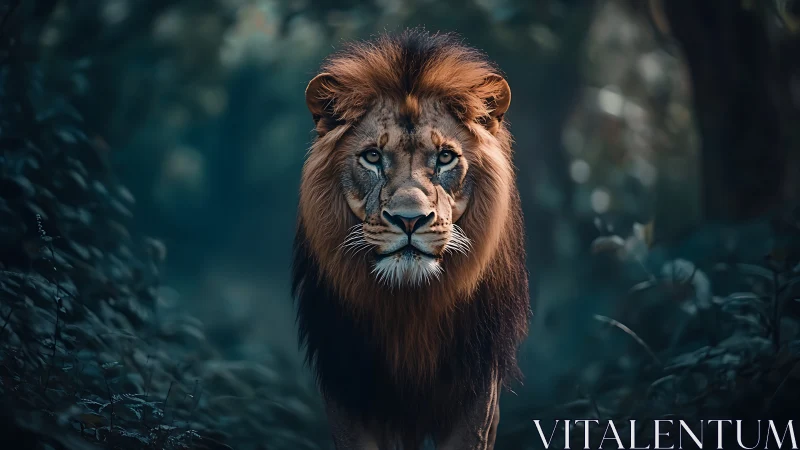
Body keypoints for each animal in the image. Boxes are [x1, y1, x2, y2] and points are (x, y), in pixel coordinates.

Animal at [292, 28, 531, 449]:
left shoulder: (478, 393)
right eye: (372, 156)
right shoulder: (347, 388)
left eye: (445, 157)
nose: (409, 220)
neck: (410, 307)